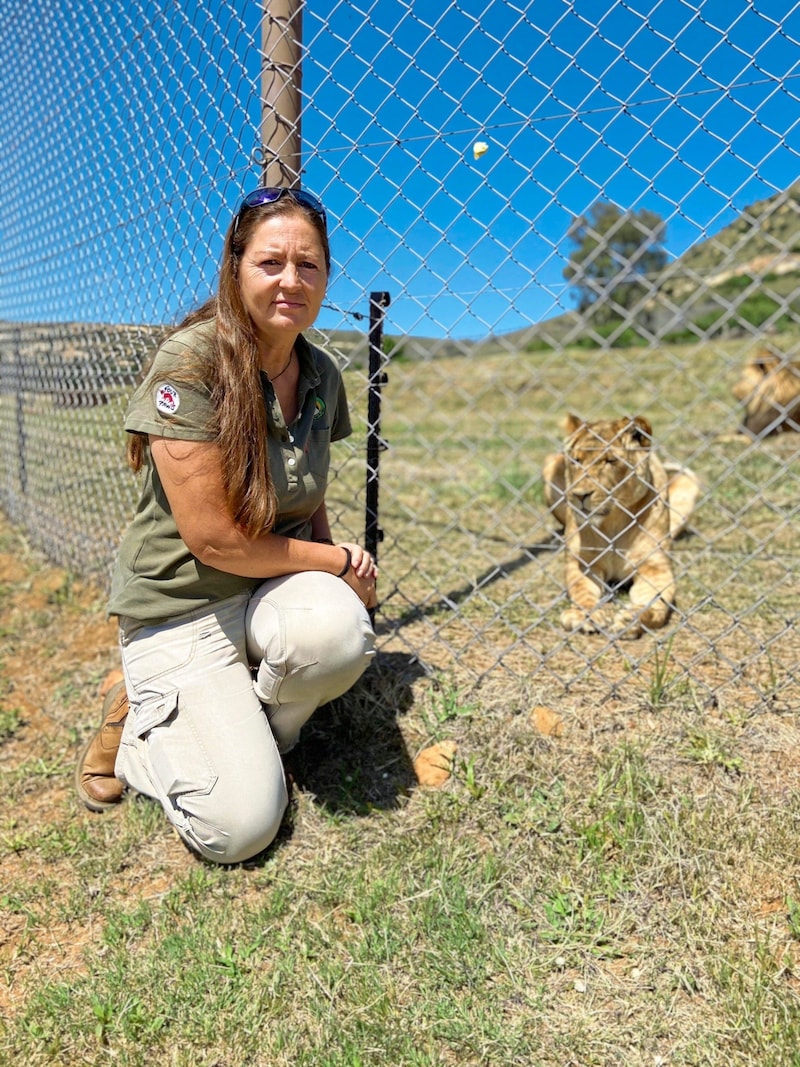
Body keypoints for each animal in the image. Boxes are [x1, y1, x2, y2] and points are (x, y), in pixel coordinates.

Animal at [546, 413, 699, 631]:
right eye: (576, 460)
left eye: (610, 461)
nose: (580, 495)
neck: (612, 521)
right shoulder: (582, 563)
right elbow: (582, 591)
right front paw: (584, 615)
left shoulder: (655, 567)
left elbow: (655, 601)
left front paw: (632, 619)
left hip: (688, 482)